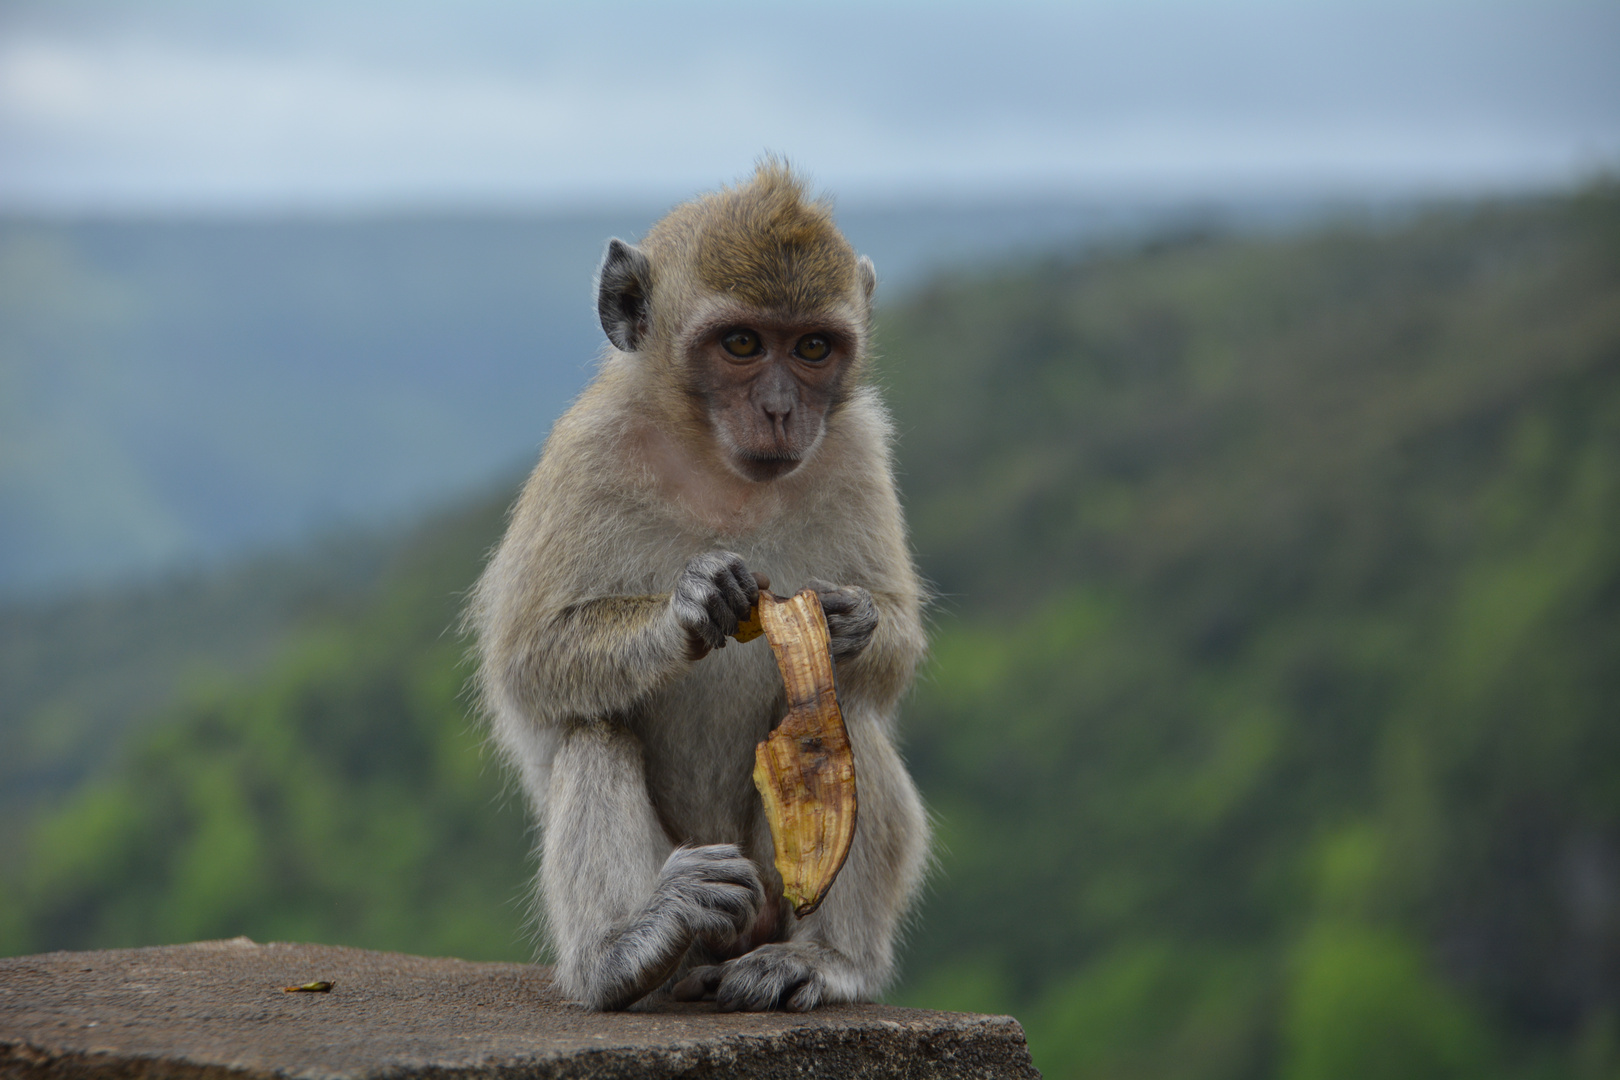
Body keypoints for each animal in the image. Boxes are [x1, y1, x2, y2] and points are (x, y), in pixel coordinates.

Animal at [463, 160, 933, 1016]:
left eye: (813, 347)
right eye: (742, 343)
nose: (780, 409)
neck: (720, 470)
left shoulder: (856, 448)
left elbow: (894, 649)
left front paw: (854, 621)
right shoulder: (586, 451)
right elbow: (528, 663)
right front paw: (688, 607)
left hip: (770, 888)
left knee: (846, 715)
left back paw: (824, 958)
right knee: (596, 730)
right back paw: (630, 951)